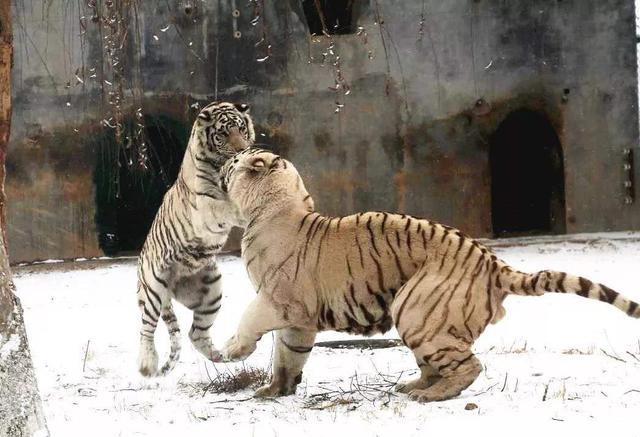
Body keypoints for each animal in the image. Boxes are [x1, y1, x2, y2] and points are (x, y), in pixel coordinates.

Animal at [137, 101, 255, 377]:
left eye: (242, 129)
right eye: (223, 133)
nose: (241, 150)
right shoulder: (207, 208)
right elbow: (228, 205)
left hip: (212, 291)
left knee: (195, 334)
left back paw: (223, 355)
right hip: (153, 289)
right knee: (146, 328)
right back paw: (146, 364)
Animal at [214, 148, 640, 402]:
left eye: (236, 161)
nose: (224, 161)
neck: (274, 205)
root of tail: (493, 264)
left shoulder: (277, 299)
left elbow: (250, 319)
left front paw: (233, 351)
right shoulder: (299, 319)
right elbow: (288, 355)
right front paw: (275, 389)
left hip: (416, 309)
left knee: (470, 366)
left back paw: (429, 395)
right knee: (439, 363)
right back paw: (414, 385)